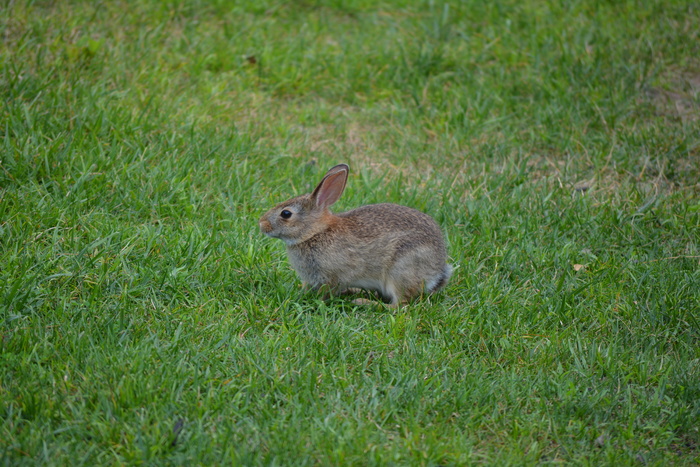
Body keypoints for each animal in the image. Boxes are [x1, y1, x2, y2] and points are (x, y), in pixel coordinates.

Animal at [258, 165, 454, 308]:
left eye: (286, 214)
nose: (261, 224)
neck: (315, 233)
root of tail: (437, 271)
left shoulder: (331, 276)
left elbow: (326, 292)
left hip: (401, 270)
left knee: (400, 305)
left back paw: (364, 302)